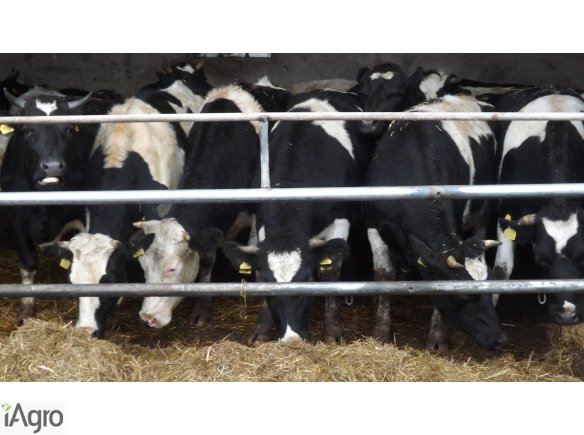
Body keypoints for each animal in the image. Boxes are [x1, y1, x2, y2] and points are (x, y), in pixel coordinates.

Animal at [1, 87, 92, 325]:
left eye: (68, 129)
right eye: (27, 130)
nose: (52, 167)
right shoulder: (16, 217)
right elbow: (28, 263)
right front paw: (26, 309)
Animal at [221, 88, 373, 344]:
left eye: (308, 281)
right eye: (269, 288)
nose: (291, 338)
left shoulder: (341, 218)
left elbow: (331, 271)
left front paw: (333, 332)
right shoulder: (261, 221)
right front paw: (261, 329)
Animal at [364, 94, 507, 351]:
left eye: (491, 282)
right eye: (462, 295)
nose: (499, 338)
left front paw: (438, 338)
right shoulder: (373, 225)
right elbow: (383, 276)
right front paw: (380, 332)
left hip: (483, 209)